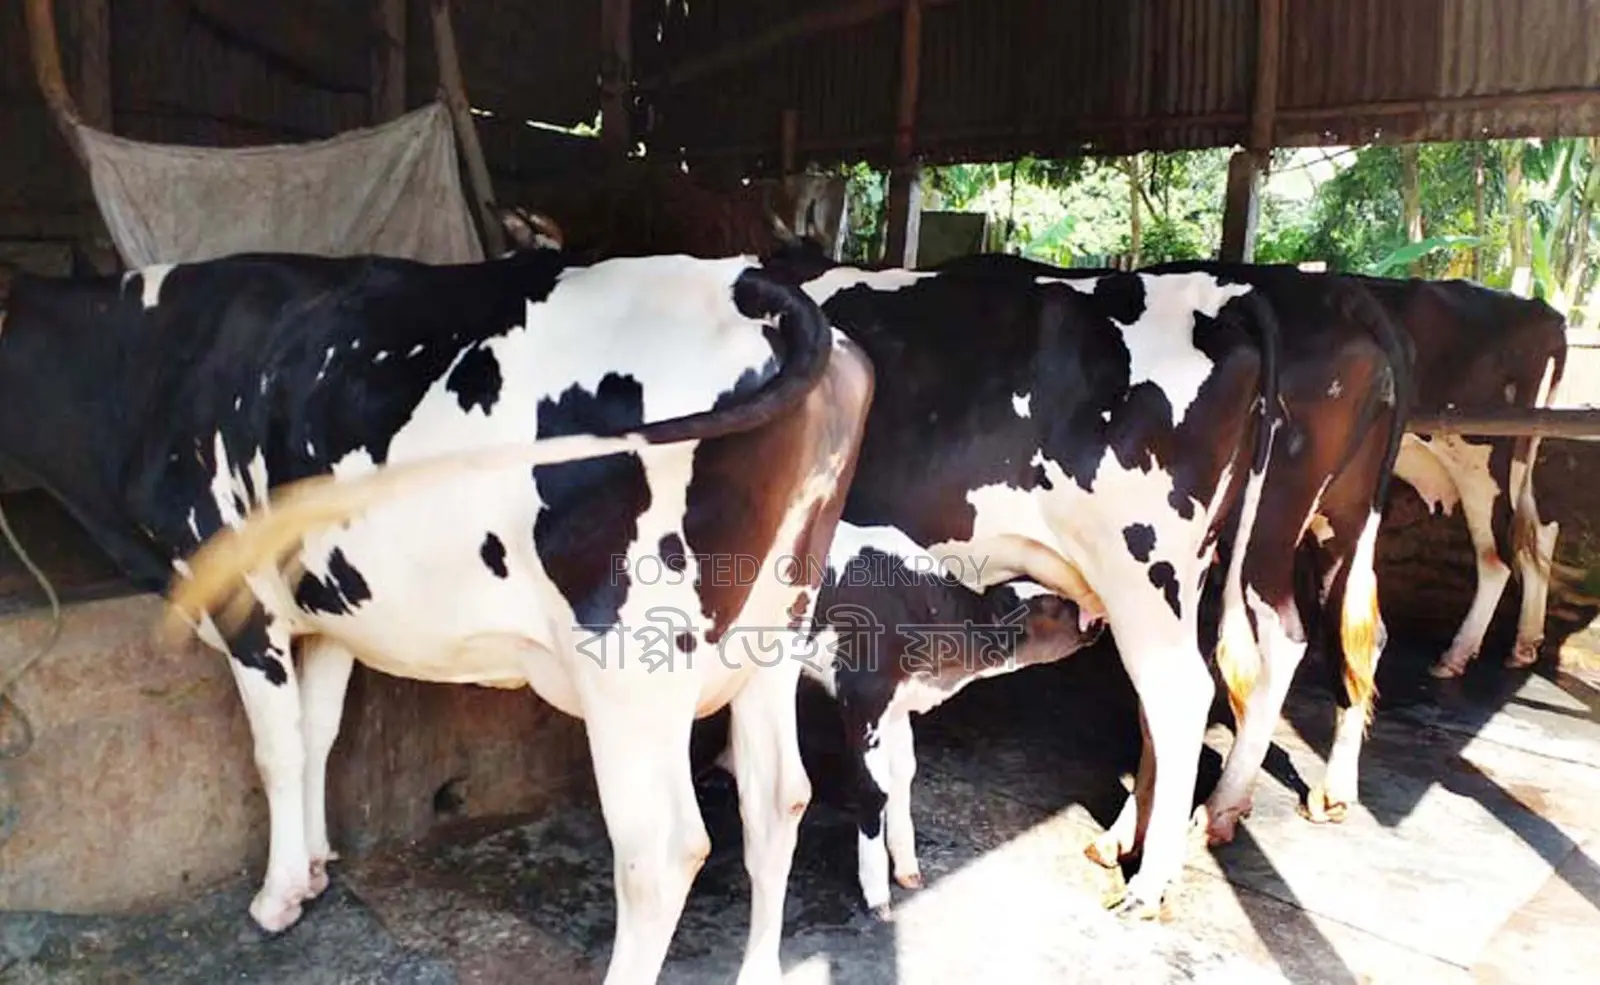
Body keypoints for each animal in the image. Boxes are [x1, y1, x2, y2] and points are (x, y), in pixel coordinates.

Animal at [0, 247, 874, 985]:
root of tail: (747, 281)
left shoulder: (243, 600)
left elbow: (276, 751)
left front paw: (278, 896)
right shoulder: (333, 606)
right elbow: (320, 733)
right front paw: (314, 866)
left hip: (631, 663)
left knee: (661, 852)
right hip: (770, 633)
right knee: (778, 797)